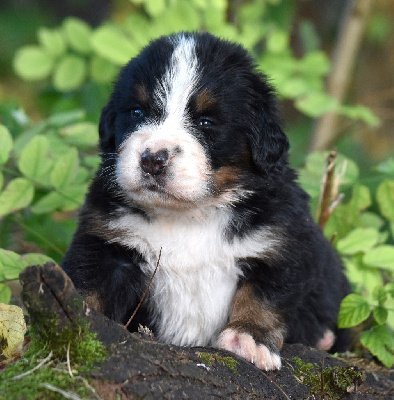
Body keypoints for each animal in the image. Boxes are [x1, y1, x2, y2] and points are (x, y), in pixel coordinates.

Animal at [63, 32, 350, 372]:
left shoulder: (282, 242)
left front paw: (248, 339)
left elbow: (264, 297)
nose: (153, 159)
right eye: (136, 112)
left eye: (206, 122)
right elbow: (90, 285)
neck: (189, 215)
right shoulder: (106, 240)